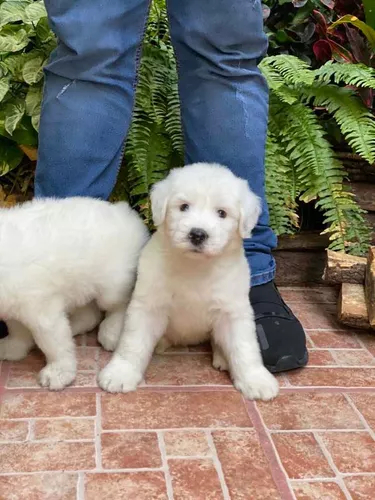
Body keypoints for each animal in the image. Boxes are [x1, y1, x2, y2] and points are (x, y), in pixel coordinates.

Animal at [0, 197, 150, 388]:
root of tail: (126, 212)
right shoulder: (16, 305)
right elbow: (17, 331)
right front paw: (12, 348)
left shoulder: (43, 312)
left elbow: (53, 344)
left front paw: (58, 373)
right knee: (90, 316)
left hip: (112, 287)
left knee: (119, 306)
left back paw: (111, 332)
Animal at [99, 164, 280, 402]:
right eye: (184, 207)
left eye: (222, 213)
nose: (197, 234)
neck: (195, 267)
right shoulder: (148, 306)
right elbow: (133, 342)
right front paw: (120, 373)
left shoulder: (233, 310)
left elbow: (244, 347)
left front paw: (255, 379)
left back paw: (223, 357)